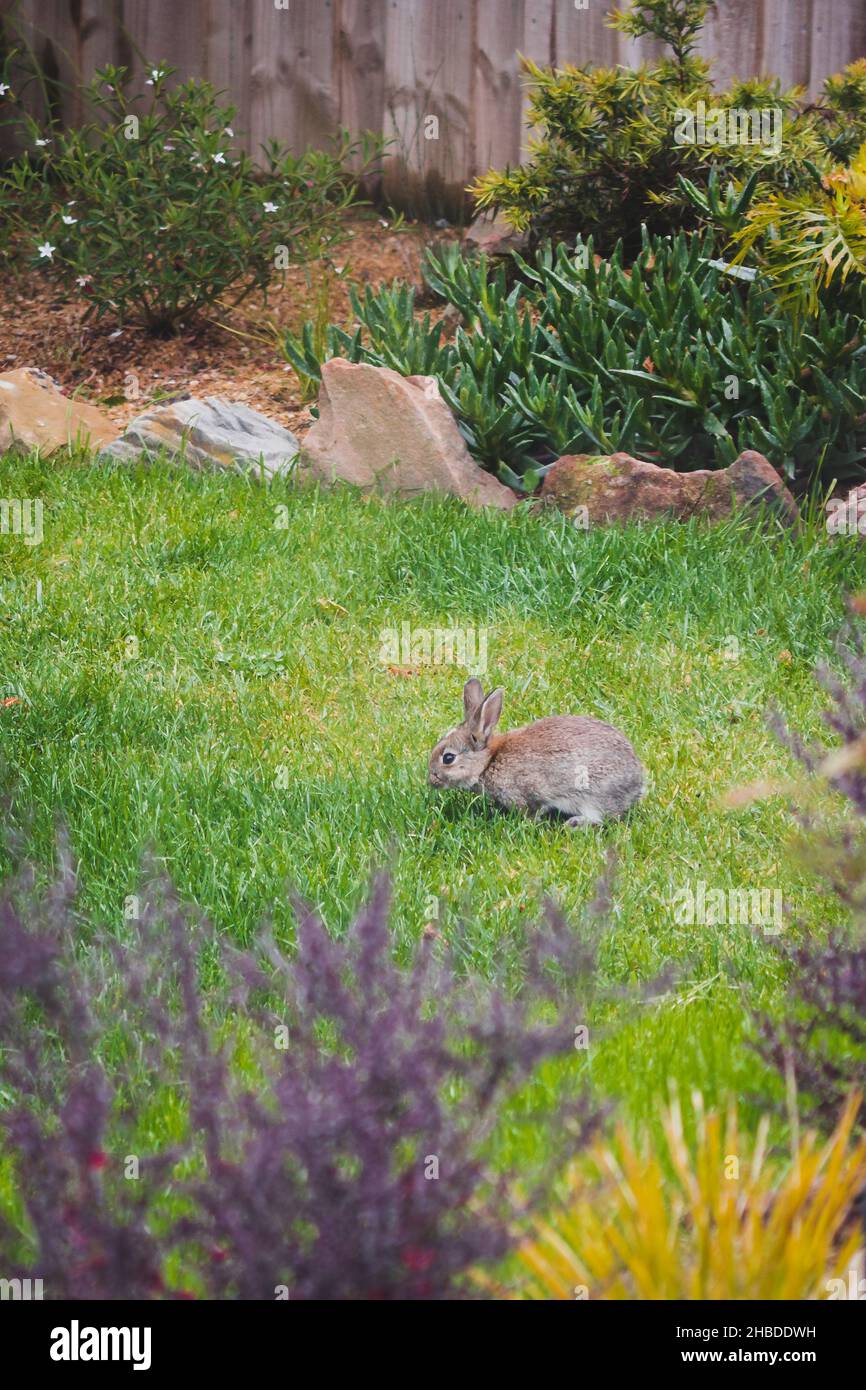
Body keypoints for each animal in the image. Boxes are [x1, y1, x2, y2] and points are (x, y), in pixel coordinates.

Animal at [428, 678, 645, 827]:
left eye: (448, 758)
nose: (431, 780)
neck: (488, 762)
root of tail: (638, 783)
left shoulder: (528, 793)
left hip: (593, 794)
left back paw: (574, 824)